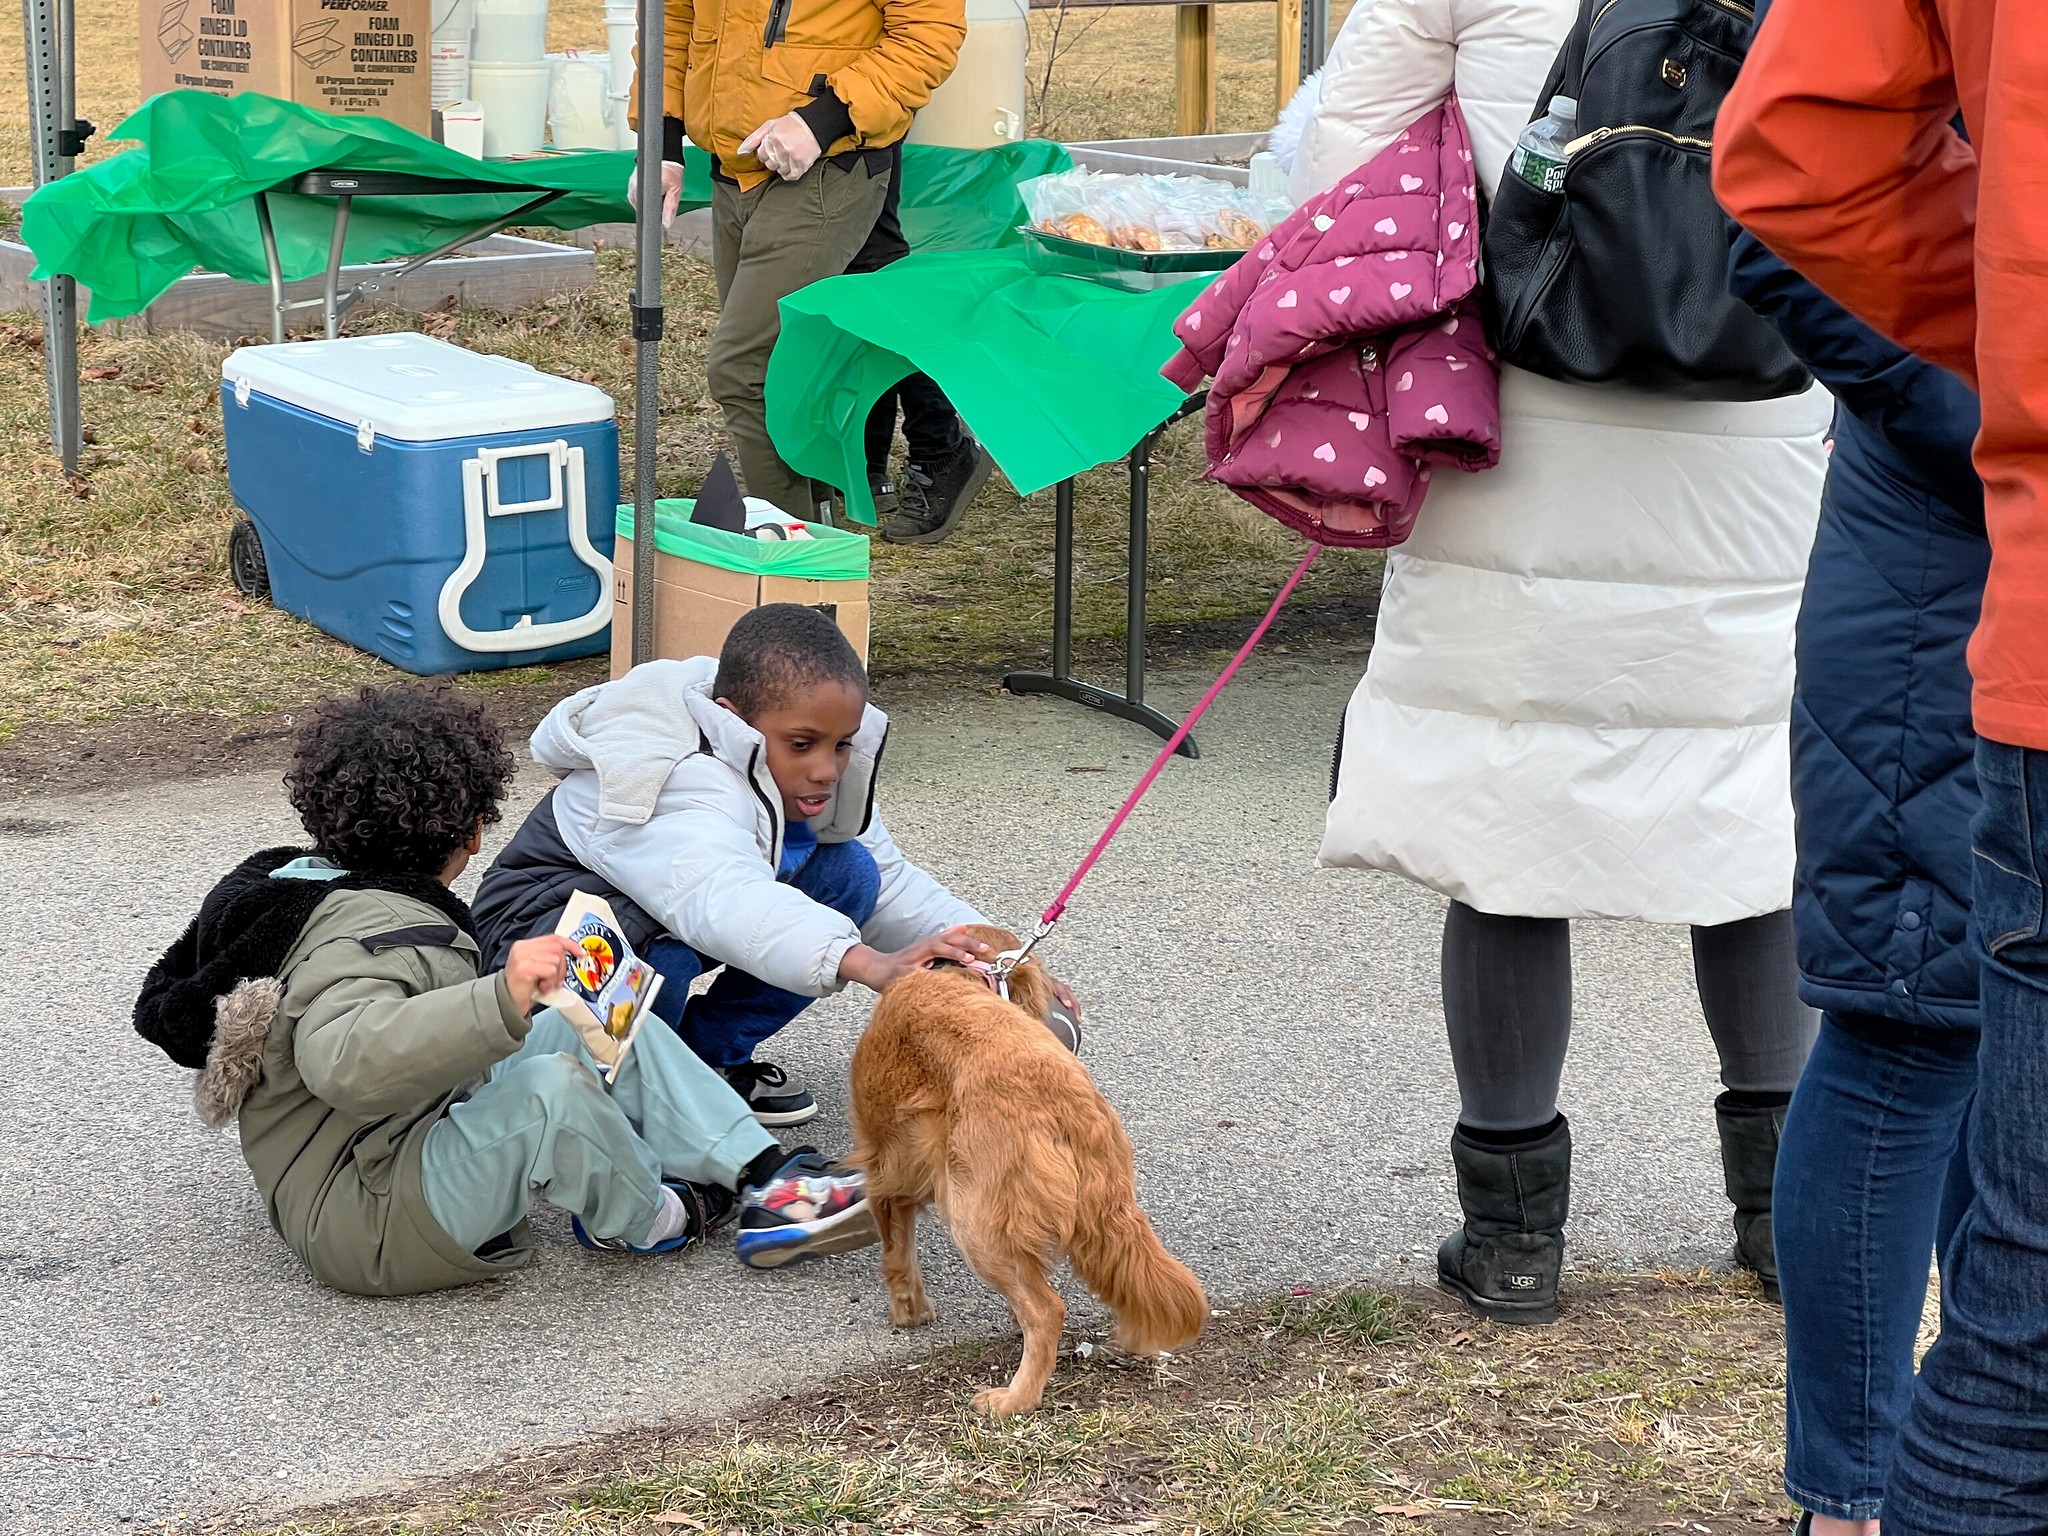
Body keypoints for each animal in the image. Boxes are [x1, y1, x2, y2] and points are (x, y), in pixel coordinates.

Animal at [843, 925, 1204, 1417]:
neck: (962, 975)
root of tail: (1065, 1103)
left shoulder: (886, 1170)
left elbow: (897, 1254)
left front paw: (908, 1312)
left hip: (974, 1219)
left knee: (1046, 1309)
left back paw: (1016, 1397)